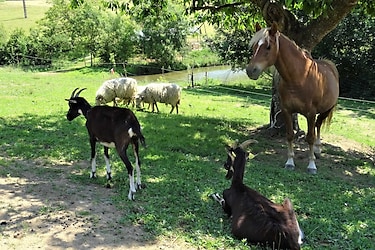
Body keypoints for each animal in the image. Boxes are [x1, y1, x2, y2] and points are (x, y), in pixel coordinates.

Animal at [247, 22, 340, 174]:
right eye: (254, 46)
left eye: (268, 46)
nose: (250, 71)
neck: (299, 78)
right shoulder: (287, 111)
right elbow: (290, 135)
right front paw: (290, 162)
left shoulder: (310, 113)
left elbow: (310, 138)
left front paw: (311, 166)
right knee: (317, 126)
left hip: (326, 110)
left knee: (318, 126)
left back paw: (318, 150)